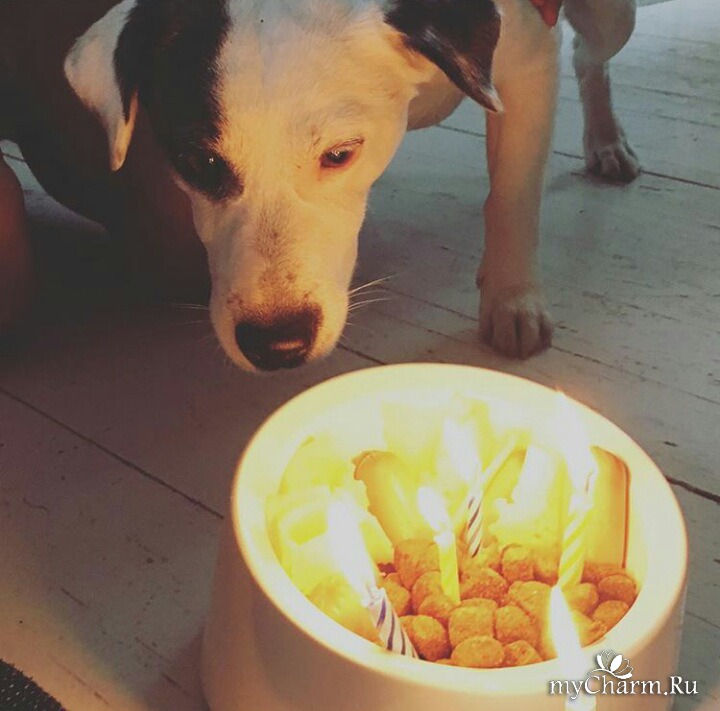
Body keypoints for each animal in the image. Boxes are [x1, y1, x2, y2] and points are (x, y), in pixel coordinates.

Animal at [0, 0, 639, 371]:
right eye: (199, 162)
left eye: (340, 154)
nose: (276, 345)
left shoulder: (527, 62)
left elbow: (512, 197)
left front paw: (512, 298)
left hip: (612, 19)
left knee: (590, 54)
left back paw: (607, 140)